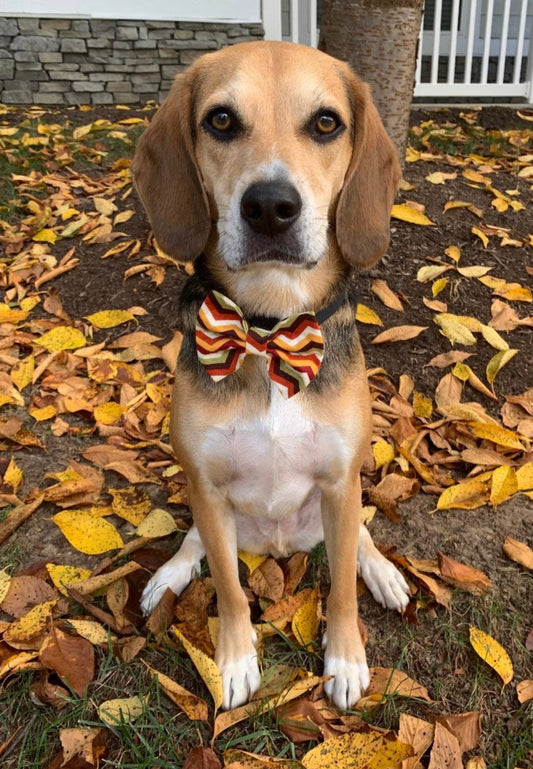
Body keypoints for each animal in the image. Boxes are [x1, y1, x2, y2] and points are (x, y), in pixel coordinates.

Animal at [132, 40, 408, 708]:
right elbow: (230, 591)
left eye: (327, 123)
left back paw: (383, 573)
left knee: (358, 541)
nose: (269, 207)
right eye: (221, 120)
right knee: (196, 543)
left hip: (343, 497)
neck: (268, 327)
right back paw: (169, 576)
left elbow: (341, 590)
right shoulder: (207, 488)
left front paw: (345, 658)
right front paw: (234, 660)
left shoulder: (340, 481)